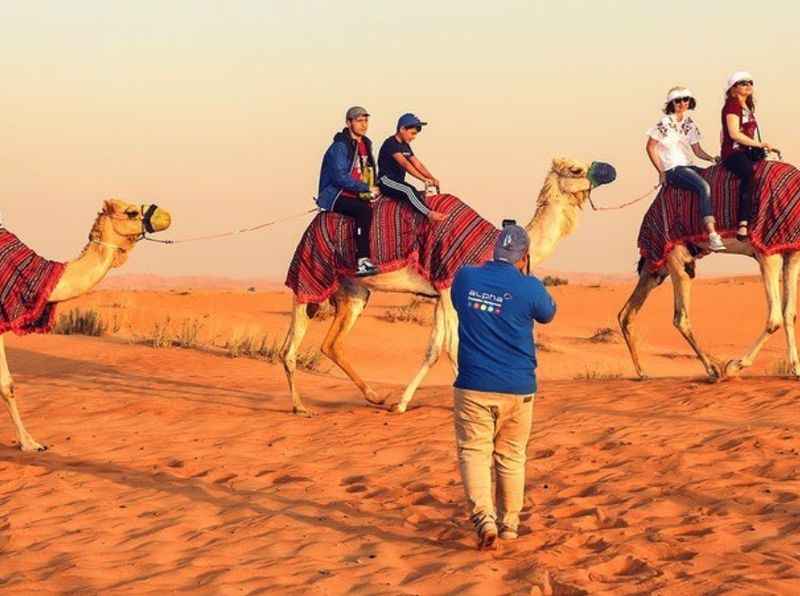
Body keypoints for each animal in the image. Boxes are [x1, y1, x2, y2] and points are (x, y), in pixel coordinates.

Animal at [282, 158, 620, 414]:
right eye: (576, 169)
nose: (610, 169)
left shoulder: (439, 293)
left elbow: (434, 348)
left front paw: (401, 404)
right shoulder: (447, 287)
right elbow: (453, 348)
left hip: (354, 291)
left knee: (332, 343)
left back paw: (376, 396)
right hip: (312, 273)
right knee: (290, 346)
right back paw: (299, 407)